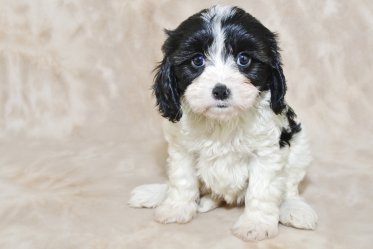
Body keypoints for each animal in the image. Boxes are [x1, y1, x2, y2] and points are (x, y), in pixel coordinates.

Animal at [129, 4, 316, 241]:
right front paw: (176, 208)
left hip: (299, 147)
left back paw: (293, 208)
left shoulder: (266, 152)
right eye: (197, 60)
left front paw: (256, 224)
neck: (222, 122)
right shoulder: (182, 149)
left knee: (290, 186)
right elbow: (182, 180)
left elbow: (261, 190)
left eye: (243, 59)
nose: (220, 90)